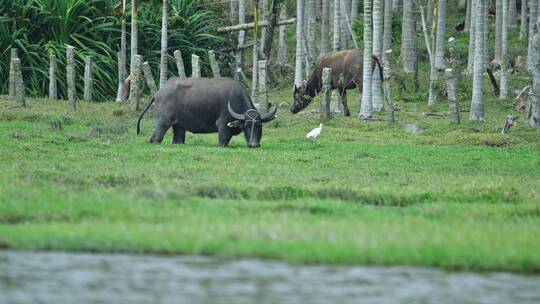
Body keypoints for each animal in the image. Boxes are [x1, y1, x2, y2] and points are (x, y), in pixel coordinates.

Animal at [137, 77, 276, 148]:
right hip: (163, 122)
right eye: (247, 126)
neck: (235, 99)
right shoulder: (222, 126)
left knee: (178, 139)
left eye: (259, 125)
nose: (254, 144)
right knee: (156, 138)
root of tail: (158, 93)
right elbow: (223, 141)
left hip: (179, 126)